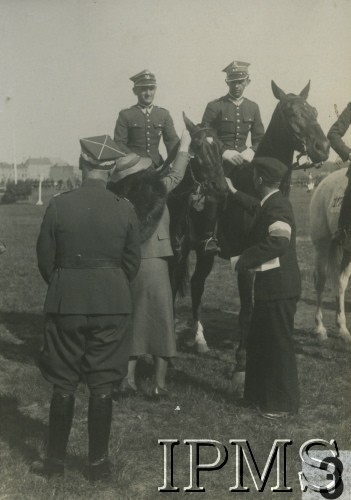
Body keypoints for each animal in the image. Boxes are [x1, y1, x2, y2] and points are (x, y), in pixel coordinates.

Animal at [169, 79, 332, 390]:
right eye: (291, 112)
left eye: (315, 111)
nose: (323, 148)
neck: (258, 192)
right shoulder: (245, 263)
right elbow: (246, 312)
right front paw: (240, 365)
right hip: (181, 249)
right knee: (180, 285)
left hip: (205, 255)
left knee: (196, 285)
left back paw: (199, 339)